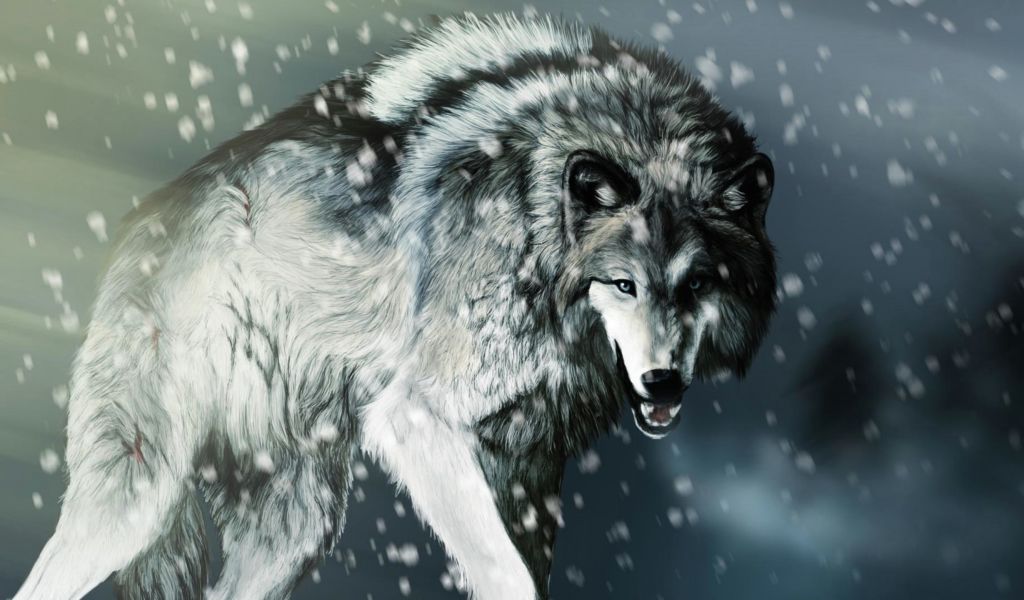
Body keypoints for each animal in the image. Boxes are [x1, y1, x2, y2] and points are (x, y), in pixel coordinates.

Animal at [14, 13, 777, 600]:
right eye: (623, 284)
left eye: (697, 284)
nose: (663, 383)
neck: (537, 225)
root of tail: (140, 220)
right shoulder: (418, 418)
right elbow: (506, 574)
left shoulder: (528, 470)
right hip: (136, 500)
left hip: (299, 527)